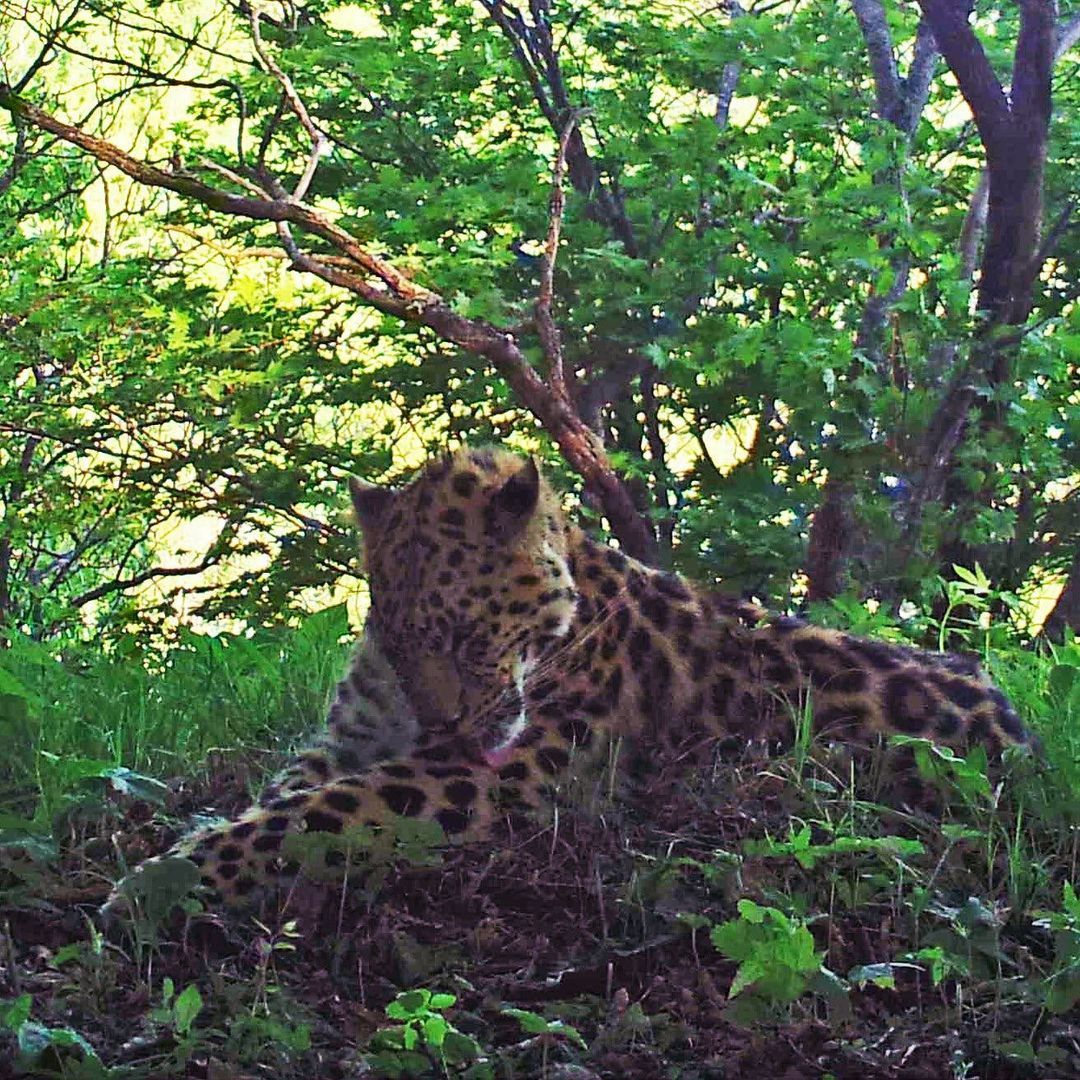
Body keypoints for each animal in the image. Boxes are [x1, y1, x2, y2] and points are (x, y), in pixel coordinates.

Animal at [103, 444, 1036, 911]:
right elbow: (289, 792)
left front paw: (161, 881)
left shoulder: (505, 770)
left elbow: (327, 811)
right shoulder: (351, 732)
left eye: (468, 635)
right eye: (397, 642)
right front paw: (193, 845)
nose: (442, 727)